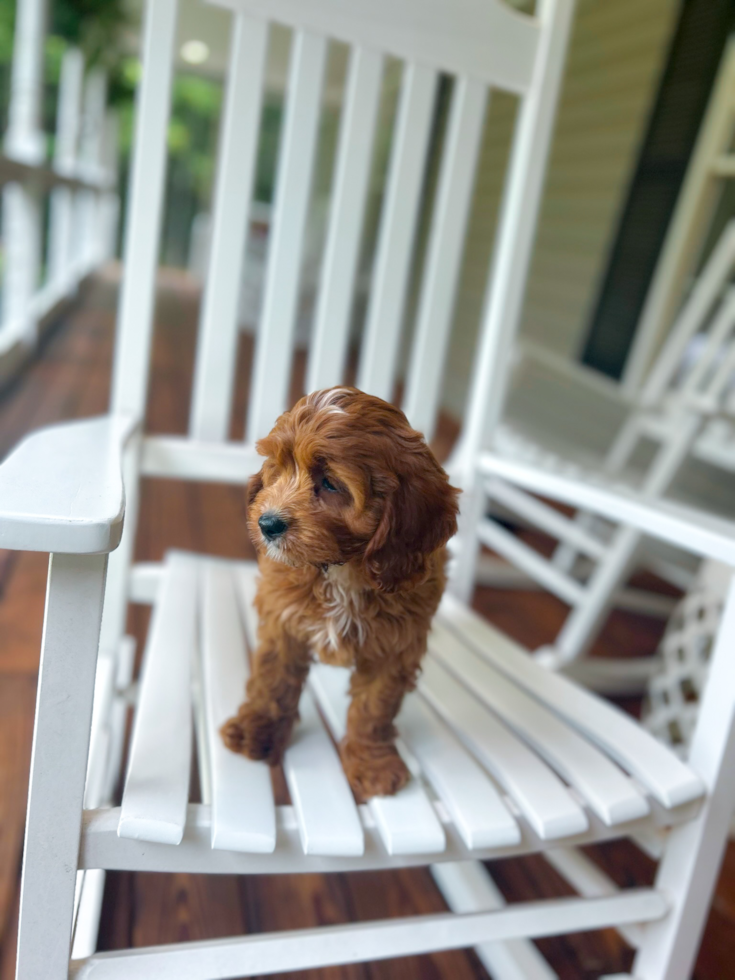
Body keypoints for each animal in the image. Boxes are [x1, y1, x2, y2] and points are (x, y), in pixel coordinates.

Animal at [221, 386, 458, 800]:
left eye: (331, 483)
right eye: (278, 468)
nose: (267, 523)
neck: (343, 568)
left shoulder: (395, 646)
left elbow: (374, 708)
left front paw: (372, 763)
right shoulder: (282, 619)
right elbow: (273, 679)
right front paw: (256, 730)